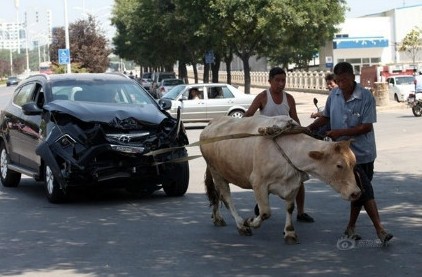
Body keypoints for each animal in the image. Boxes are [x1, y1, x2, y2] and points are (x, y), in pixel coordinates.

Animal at [199, 115, 362, 243]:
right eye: (339, 165)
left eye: (354, 162)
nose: (356, 193)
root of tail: (214, 121)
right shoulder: (258, 183)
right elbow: (265, 212)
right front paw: (251, 222)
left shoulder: (294, 184)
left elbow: (290, 208)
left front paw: (289, 232)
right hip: (216, 172)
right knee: (227, 198)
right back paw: (241, 225)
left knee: (217, 195)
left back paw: (217, 218)